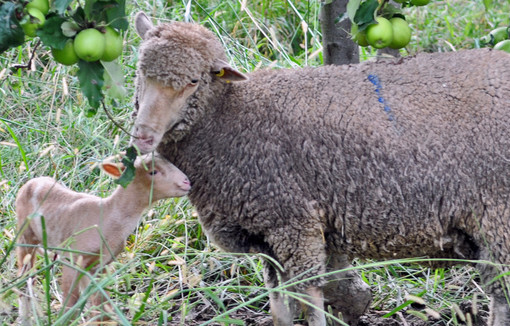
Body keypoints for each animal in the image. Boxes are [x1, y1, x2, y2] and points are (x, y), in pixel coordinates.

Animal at [16, 154, 191, 322]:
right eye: (153, 172)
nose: (187, 182)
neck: (109, 214)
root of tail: (32, 181)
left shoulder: (101, 265)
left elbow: (101, 307)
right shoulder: (73, 259)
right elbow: (70, 304)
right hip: (25, 234)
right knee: (24, 280)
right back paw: (25, 317)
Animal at [129, 12, 510, 326]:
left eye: (194, 81)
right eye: (141, 72)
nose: (143, 135)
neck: (229, 115)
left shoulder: (294, 221)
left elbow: (310, 296)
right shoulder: (265, 234)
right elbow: (279, 303)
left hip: (498, 214)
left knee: (502, 294)